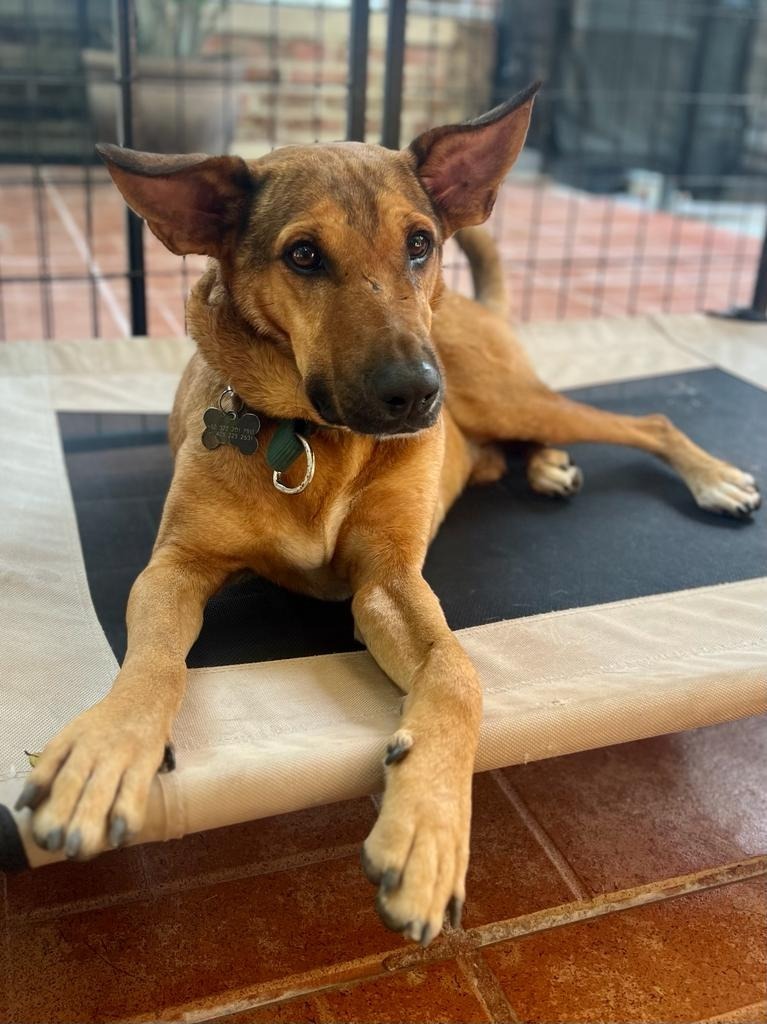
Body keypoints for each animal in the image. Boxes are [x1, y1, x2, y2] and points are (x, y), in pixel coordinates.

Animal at [17, 83, 761, 946]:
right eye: (304, 255)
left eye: (418, 243)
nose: (415, 395)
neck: (311, 438)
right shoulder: (174, 567)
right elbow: (153, 664)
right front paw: (106, 748)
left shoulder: (388, 582)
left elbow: (457, 676)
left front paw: (428, 829)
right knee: (534, 444)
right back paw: (548, 466)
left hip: (505, 393)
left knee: (645, 421)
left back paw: (707, 476)